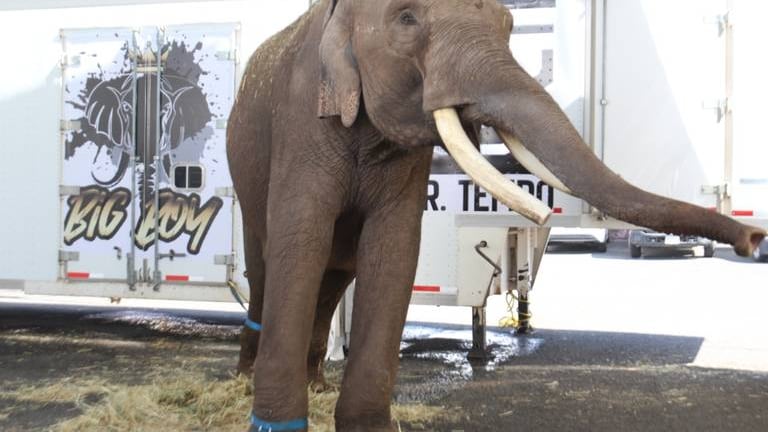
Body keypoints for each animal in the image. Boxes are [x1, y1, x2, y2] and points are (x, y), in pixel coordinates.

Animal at [226, 1, 766, 430]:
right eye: (406, 18)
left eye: (508, 24)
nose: (753, 238)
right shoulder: (300, 124)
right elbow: (301, 242)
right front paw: (275, 422)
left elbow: (393, 250)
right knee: (267, 262)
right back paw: (246, 378)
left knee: (337, 273)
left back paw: (316, 384)